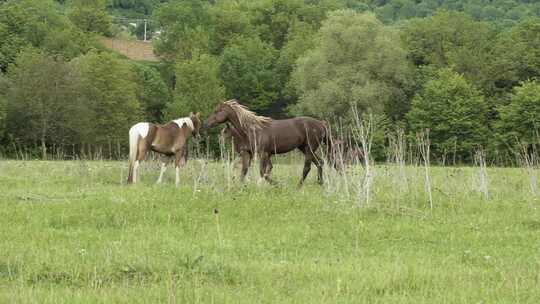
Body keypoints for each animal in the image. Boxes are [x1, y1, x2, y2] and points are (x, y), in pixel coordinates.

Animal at [202, 100, 330, 185]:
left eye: (217, 111)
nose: (205, 123)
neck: (251, 131)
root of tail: (321, 124)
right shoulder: (250, 153)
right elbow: (245, 170)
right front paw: (240, 186)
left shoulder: (263, 153)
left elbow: (262, 172)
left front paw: (276, 184)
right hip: (304, 148)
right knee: (320, 162)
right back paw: (320, 183)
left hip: (309, 148)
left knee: (307, 167)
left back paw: (299, 186)